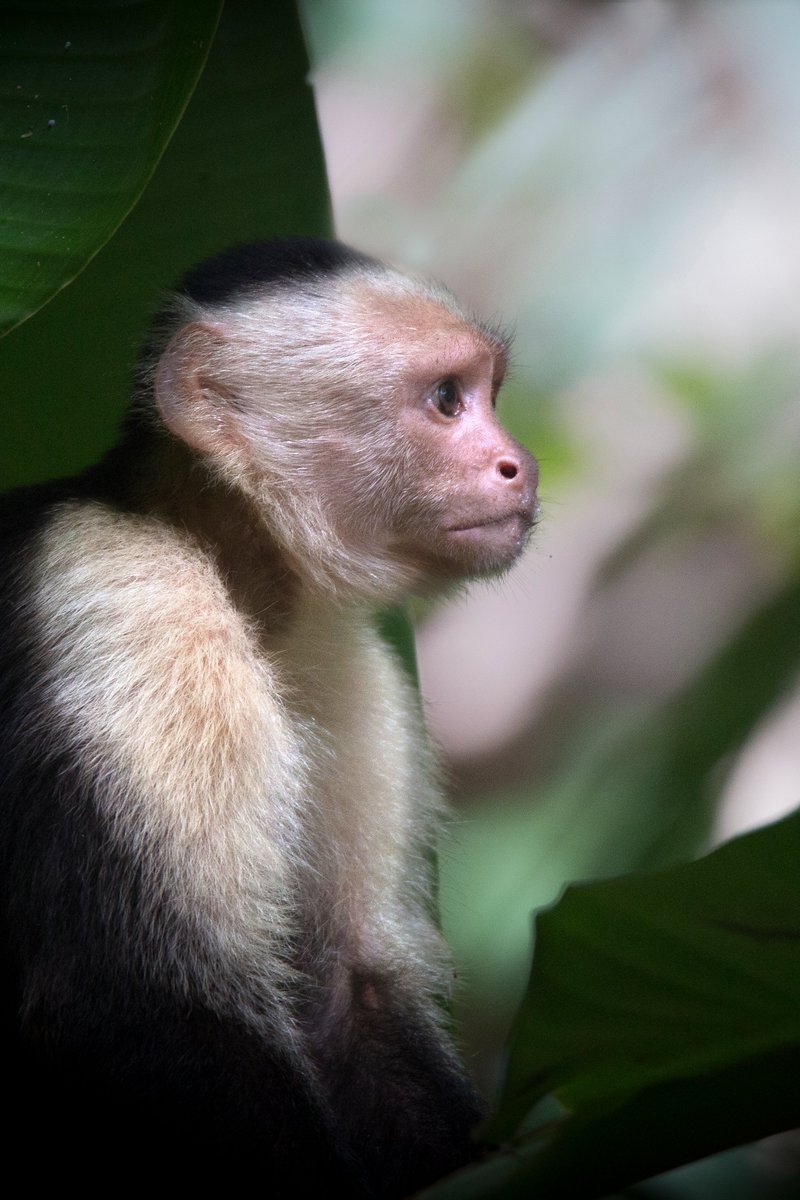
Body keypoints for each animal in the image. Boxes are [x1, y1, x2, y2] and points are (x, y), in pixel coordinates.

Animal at [0, 238, 542, 1195]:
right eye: (448, 399)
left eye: (491, 392)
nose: (521, 462)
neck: (220, 549)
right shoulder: (126, 608)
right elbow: (137, 1011)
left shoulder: (344, 664)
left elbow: (350, 996)